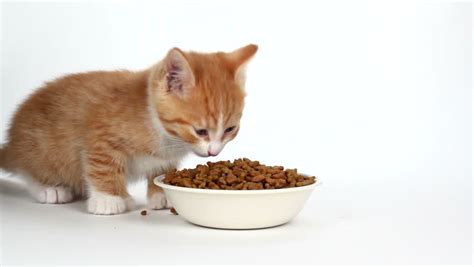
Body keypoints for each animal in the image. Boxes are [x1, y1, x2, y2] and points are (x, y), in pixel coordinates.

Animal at [0, 44, 258, 216]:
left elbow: (161, 169)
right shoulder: (99, 138)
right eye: (201, 131)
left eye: (230, 129)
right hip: (43, 149)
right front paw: (108, 199)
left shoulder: (165, 156)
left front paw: (161, 194)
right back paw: (50, 189)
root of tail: (12, 141)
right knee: (29, 169)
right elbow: (102, 168)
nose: (214, 152)